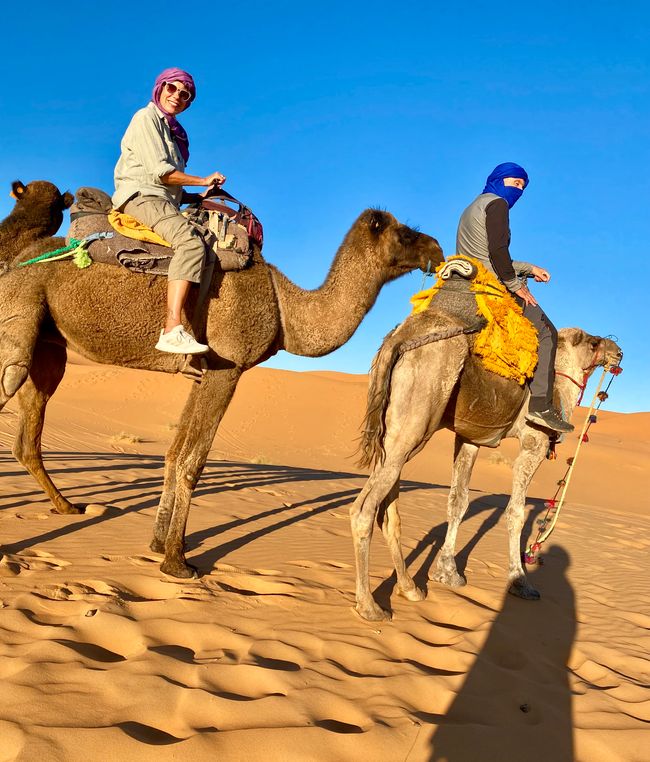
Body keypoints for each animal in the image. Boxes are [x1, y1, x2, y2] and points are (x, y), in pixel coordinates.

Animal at [346, 280, 620, 616]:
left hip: (395, 429)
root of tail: (398, 338)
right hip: (417, 420)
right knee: (364, 509)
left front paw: (447, 573)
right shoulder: (535, 441)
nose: (618, 352)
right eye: (594, 343)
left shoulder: (470, 438)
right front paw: (520, 581)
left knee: (388, 509)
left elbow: (458, 501)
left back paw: (410, 588)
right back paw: (369, 605)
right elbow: (515, 512)